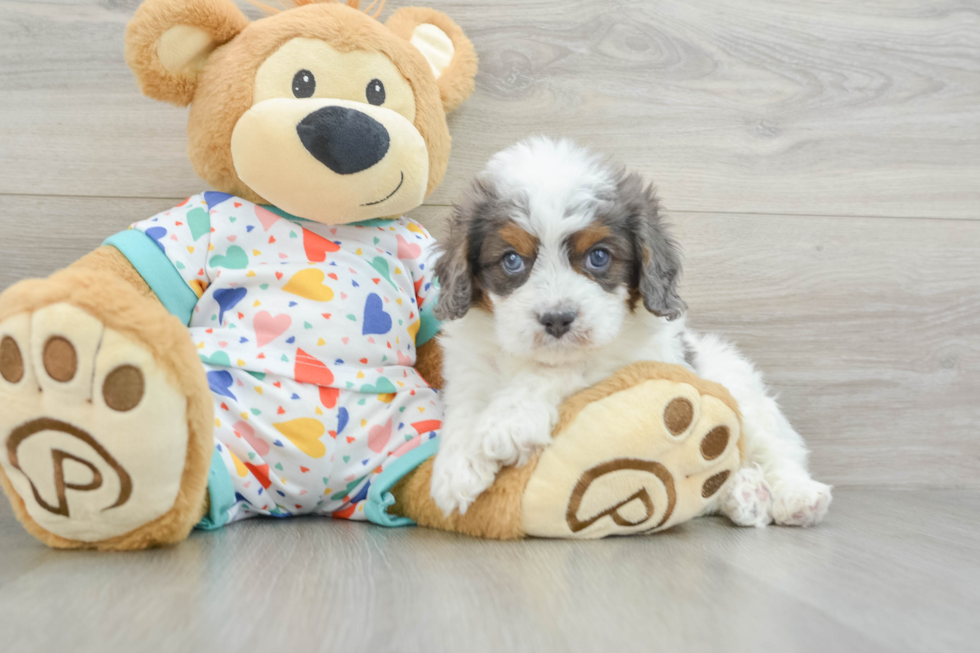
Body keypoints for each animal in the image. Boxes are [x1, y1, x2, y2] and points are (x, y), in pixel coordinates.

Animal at [432, 135, 832, 528]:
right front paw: (456, 468)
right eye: (512, 260)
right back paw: (745, 494)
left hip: (742, 392)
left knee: (776, 449)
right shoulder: (470, 367)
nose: (558, 319)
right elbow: (465, 409)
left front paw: (508, 422)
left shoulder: (636, 361)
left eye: (599, 257)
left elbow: (565, 370)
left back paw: (795, 495)